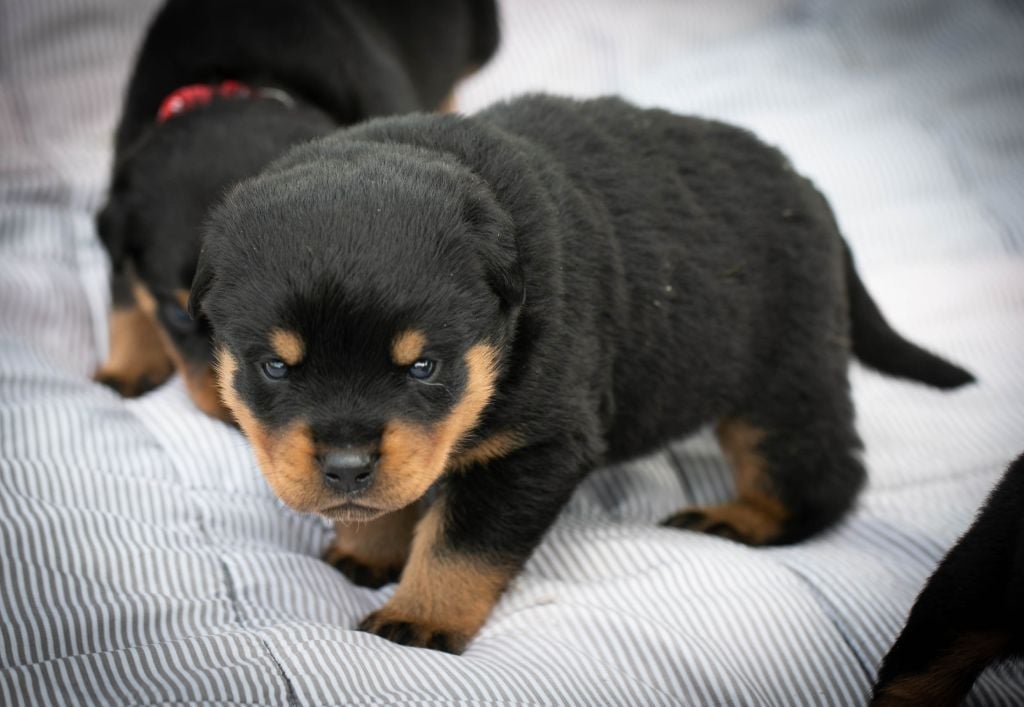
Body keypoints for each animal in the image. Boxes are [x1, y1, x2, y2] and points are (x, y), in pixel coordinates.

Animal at [189, 94, 975, 653]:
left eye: (423, 366)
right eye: (273, 367)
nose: (346, 465)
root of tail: (811, 190)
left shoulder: (536, 445)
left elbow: (462, 546)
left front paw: (419, 619)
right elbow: (396, 499)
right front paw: (367, 548)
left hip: (785, 370)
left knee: (818, 469)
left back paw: (743, 516)